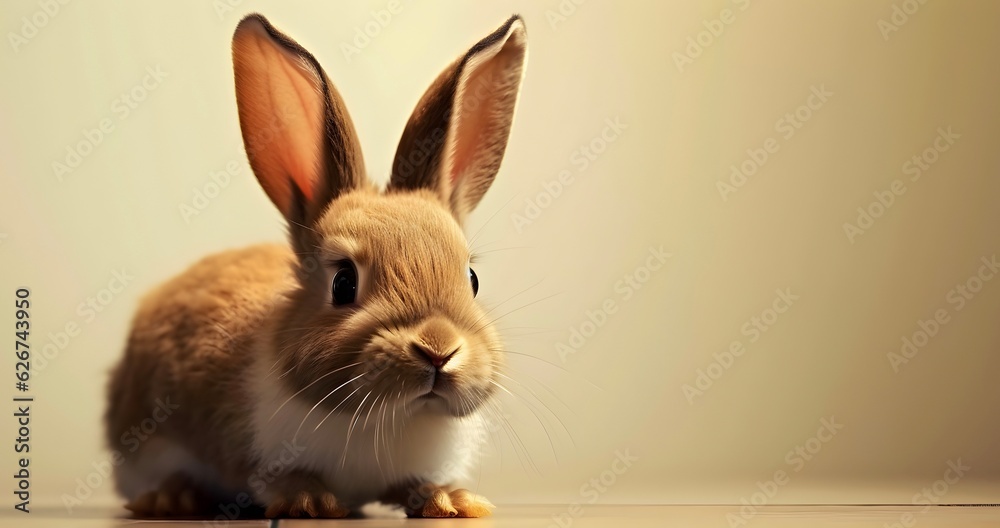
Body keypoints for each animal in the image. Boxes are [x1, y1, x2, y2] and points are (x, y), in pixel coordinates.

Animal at [104, 12, 527, 519]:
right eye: (343, 282)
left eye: (472, 278)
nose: (438, 349)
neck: (391, 418)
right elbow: (277, 479)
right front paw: (309, 502)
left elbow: (417, 485)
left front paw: (452, 501)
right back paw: (174, 497)